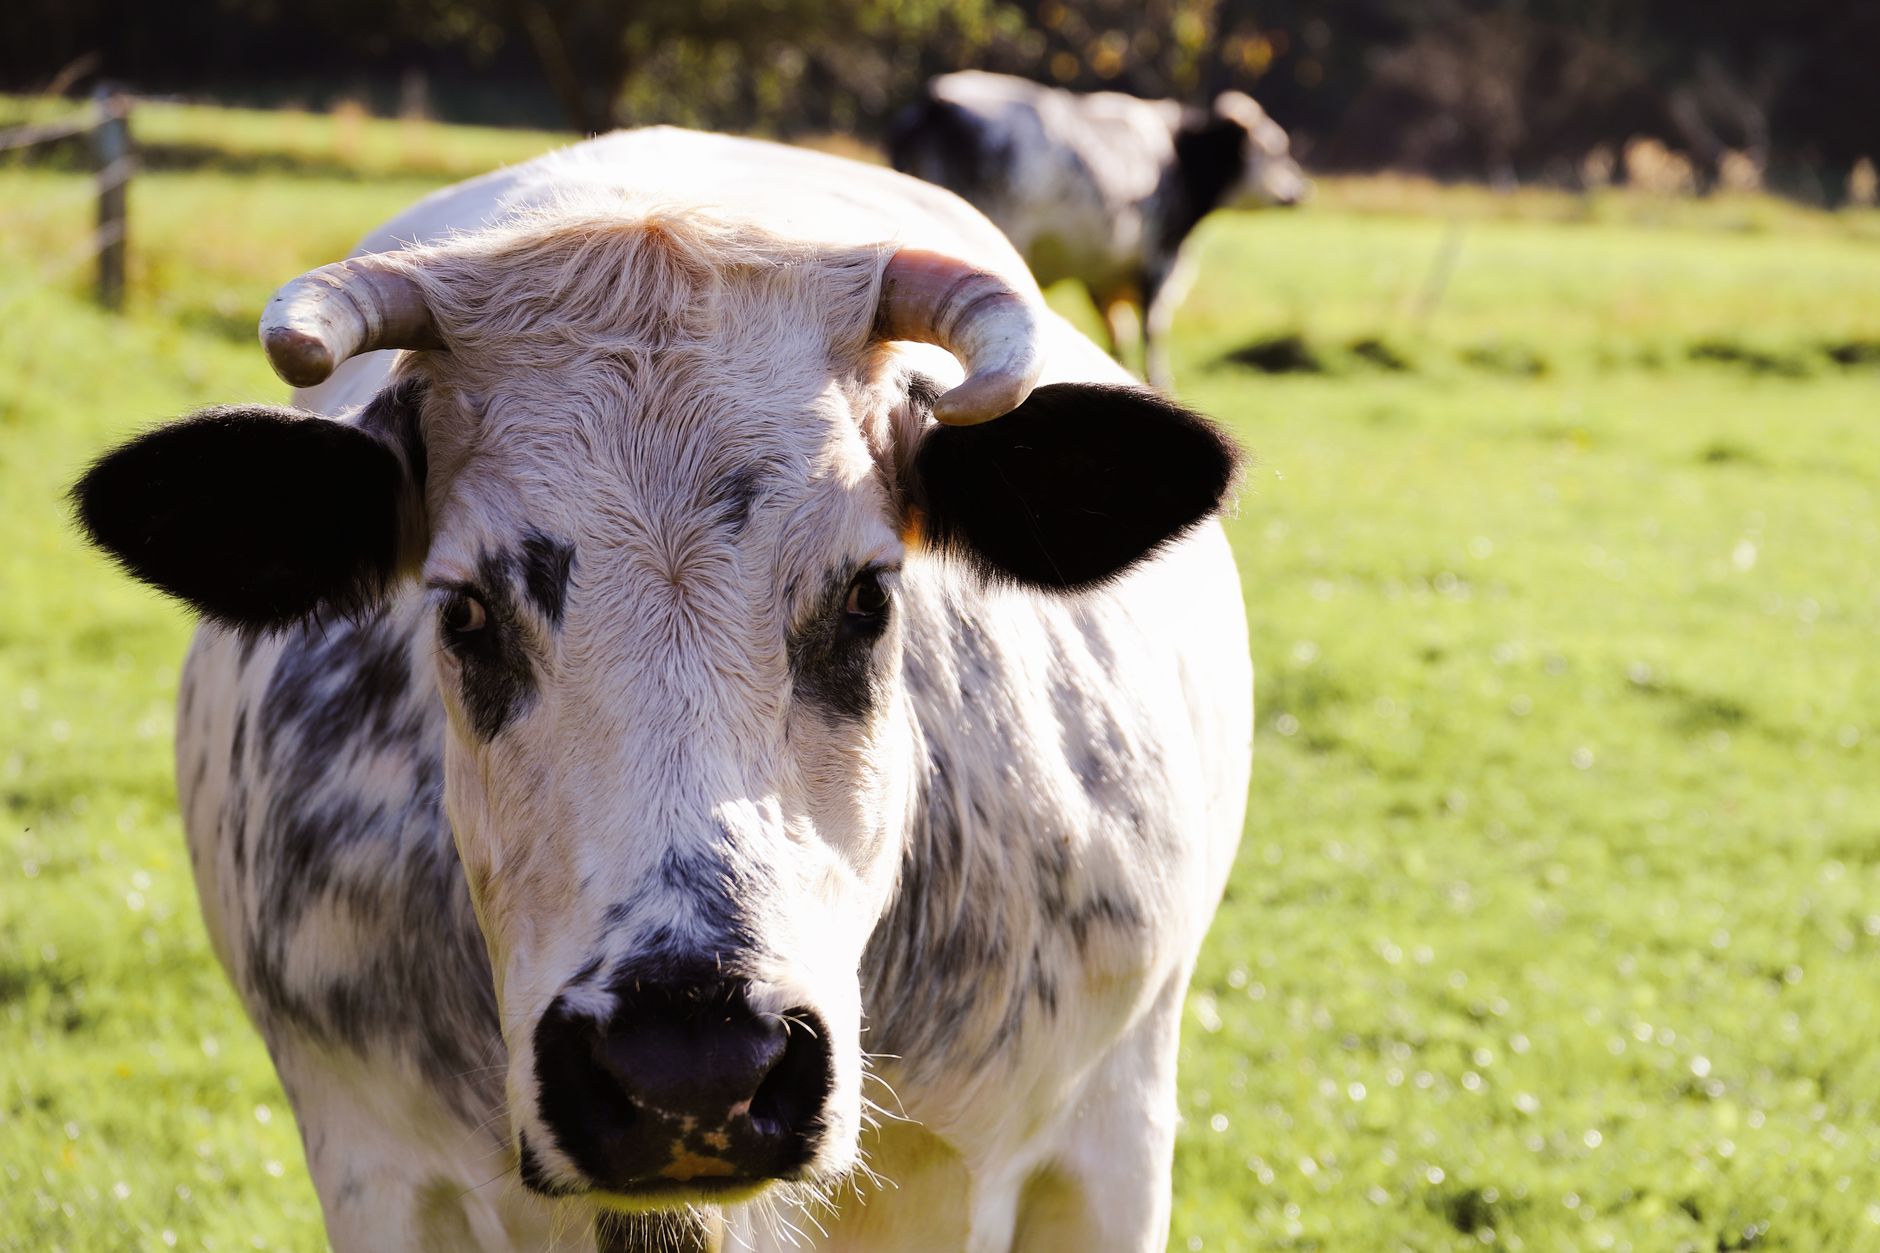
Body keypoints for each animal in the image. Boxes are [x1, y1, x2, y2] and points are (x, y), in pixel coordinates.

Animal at [889, 70, 1310, 390]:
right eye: (1276, 149)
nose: (1300, 189)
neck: (1178, 156)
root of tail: (936, 101)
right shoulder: (1160, 257)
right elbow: (1153, 329)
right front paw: (1160, 382)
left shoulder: (1104, 275)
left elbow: (1117, 335)